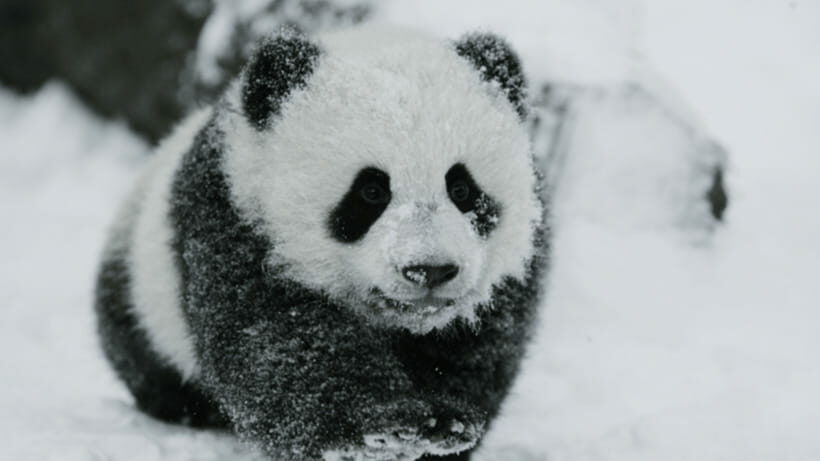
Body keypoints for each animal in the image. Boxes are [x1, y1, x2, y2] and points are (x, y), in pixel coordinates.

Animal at [95, 26, 548, 461]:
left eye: (462, 188)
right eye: (370, 191)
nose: (430, 270)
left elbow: (478, 351)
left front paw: (445, 423)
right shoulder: (234, 220)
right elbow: (279, 343)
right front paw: (383, 426)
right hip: (140, 296)